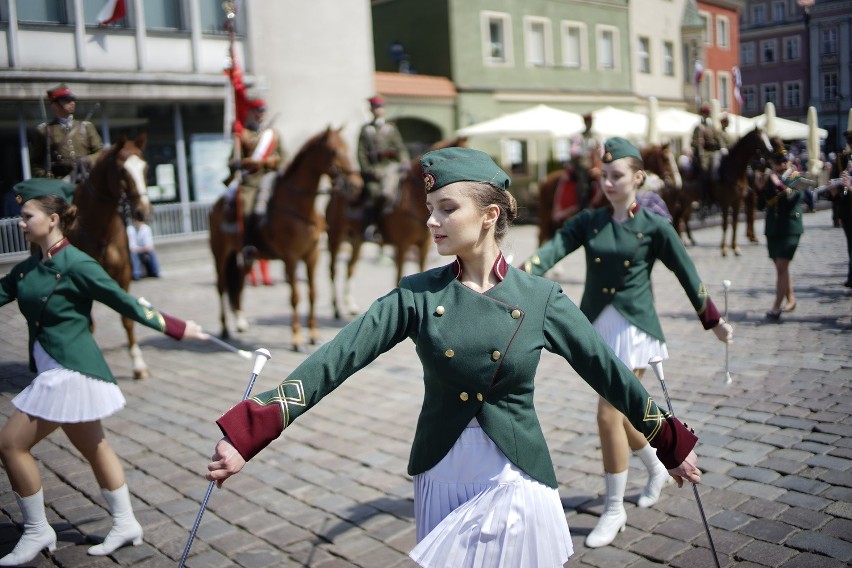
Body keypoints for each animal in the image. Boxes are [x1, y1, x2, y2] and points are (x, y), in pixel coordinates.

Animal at [69, 134, 152, 380]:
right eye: (122, 170)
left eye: (145, 168)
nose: (143, 212)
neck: (100, 231)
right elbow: (88, 325)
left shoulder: (123, 277)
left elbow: (127, 318)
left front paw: (139, 365)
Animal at [212, 127, 362, 348]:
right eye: (335, 151)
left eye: (348, 148)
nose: (356, 184)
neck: (300, 207)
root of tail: (217, 204)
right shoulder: (291, 258)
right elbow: (295, 297)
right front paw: (297, 338)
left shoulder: (312, 255)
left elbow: (312, 294)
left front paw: (313, 335)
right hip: (220, 255)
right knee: (222, 287)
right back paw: (224, 328)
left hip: (247, 258)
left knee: (238, 284)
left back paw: (240, 322)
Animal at [324, 136, 470, 318]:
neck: (412, 200)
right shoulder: (401, 246)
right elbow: (399, 278)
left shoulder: (422, 247)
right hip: (335, 238)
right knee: (333, 270)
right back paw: (336, 307)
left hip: (356, 241)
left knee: (351, 267)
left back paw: (350, 305)